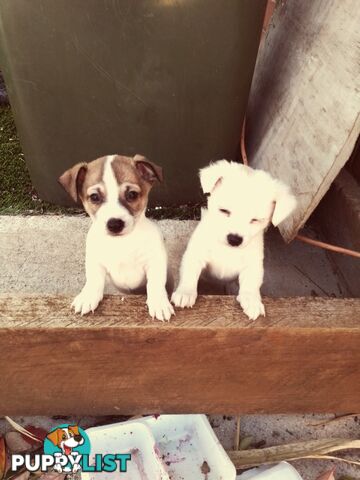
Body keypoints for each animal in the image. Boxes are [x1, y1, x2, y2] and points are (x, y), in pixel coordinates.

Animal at [59, 154, 174, 320]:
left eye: (132, 194)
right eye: (94, 197)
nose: (114, 224)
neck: (121, 243)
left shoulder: (154, 262)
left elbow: (155, 283)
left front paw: (159, 303)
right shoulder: (95, 261)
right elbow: (93, 279)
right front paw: (87, 296)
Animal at [172, 159, 296, 320]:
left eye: (255, 220)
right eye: (224, 211)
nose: (234, 239)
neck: (228, 250)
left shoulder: (253, 265)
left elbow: (251, 283)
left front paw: (252, 300)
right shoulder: (196, 254)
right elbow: (189, 273)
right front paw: (185, 292)